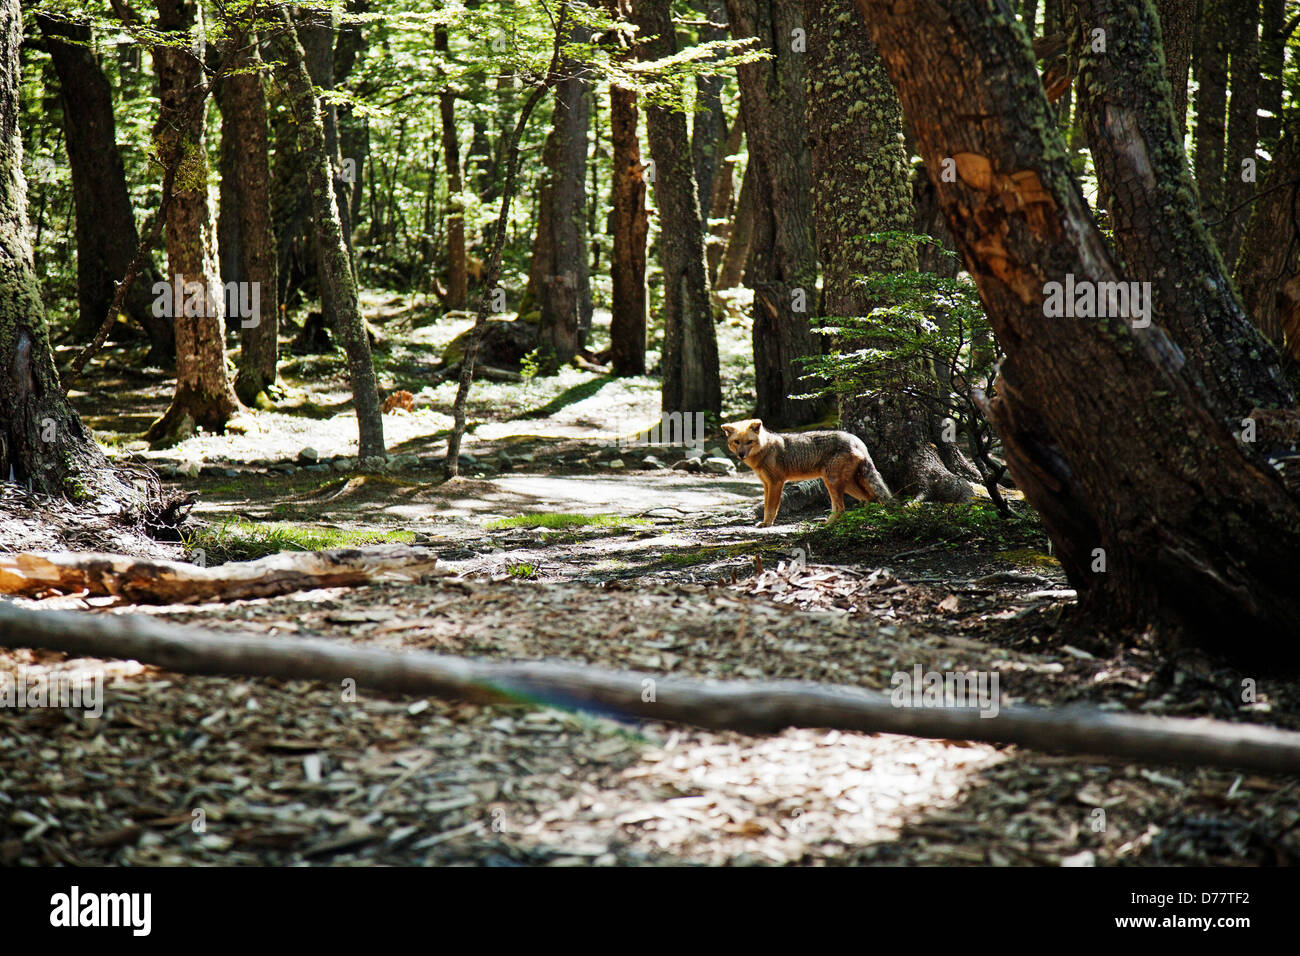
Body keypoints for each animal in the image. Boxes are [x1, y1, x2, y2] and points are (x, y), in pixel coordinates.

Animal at [721, 419, 892, 527]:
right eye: (737, 442)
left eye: (749, 442)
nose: (741, 455)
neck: (765, 449)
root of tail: (856, 440)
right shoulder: (766, 484)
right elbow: (766, 507)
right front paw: (764, 522)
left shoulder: (776, 483)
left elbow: (771, 508)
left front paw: (767, 524)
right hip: (846, 485)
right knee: (869, 499)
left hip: (832, 483)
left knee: (841, 508)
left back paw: (828, 524)